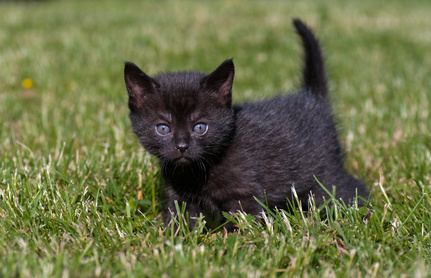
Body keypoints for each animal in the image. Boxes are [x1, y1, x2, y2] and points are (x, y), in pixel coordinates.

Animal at [124, 19, 368, 230]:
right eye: (163, 128)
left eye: (200, 127)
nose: (182, 146)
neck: (196, 173)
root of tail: (313, 99)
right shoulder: (180, 197)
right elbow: (180, 221)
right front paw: (175, 240)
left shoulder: (244, 194)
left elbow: (243, 225)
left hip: (325, 177)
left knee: (349, 190)